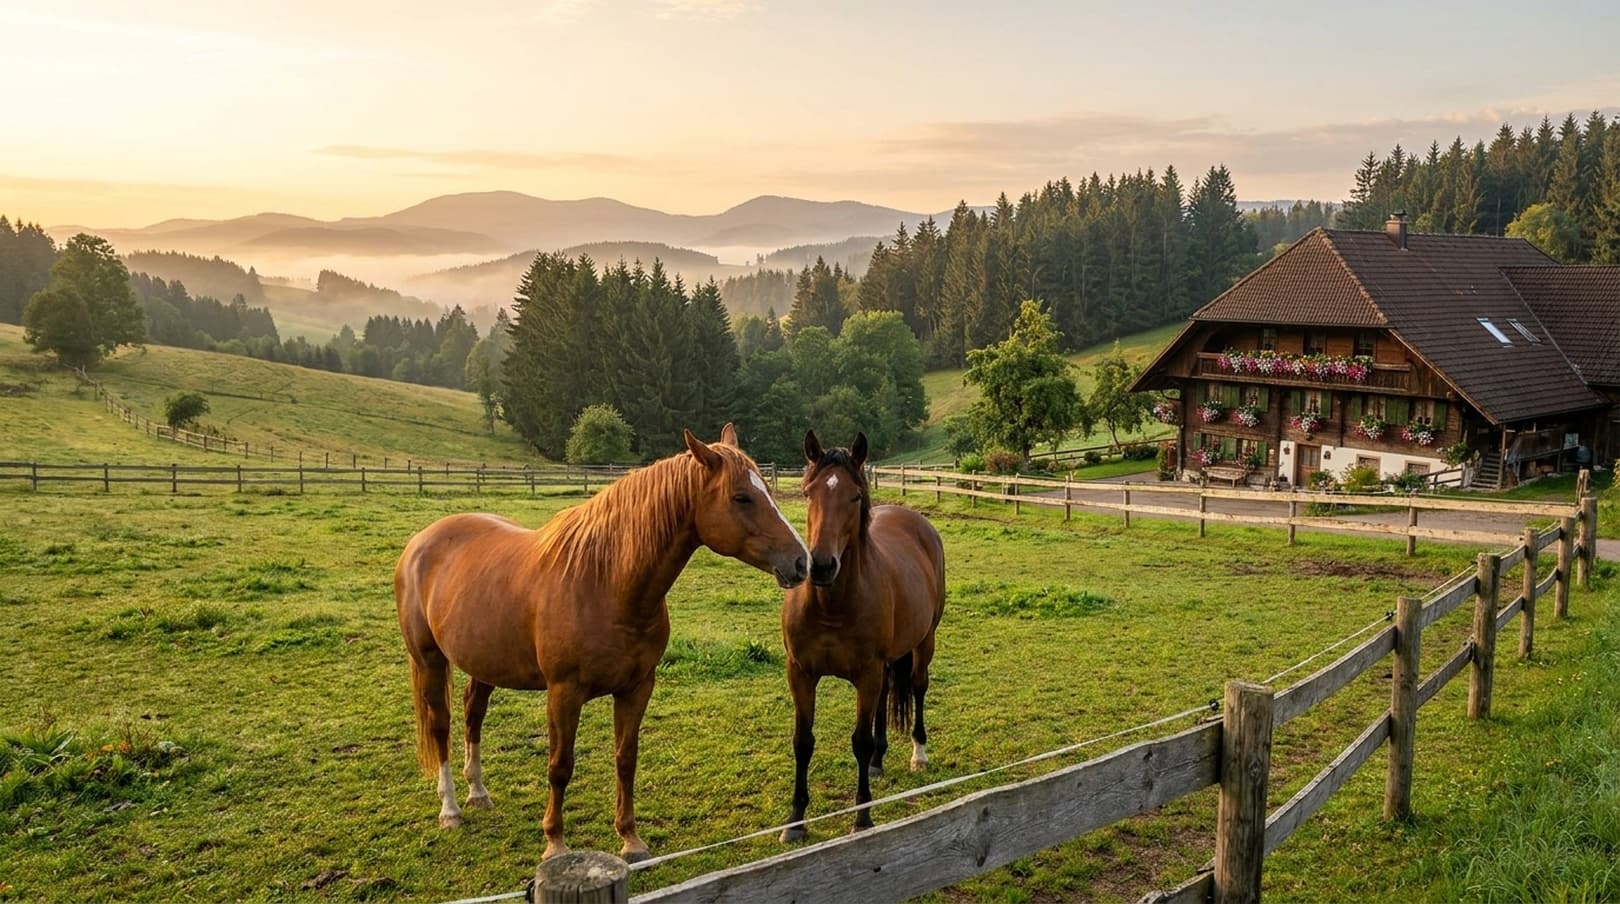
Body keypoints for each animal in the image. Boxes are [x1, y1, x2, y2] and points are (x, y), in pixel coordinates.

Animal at [395, 424, 809, 862]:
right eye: (741, 497)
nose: (802, 562)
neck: (605, 582)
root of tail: (422, 541)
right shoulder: (564, 693)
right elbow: (560, 765)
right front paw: (555, 844)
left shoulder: (637, 687)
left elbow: (626, 758)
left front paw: (631, 840)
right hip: (429, 660)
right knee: (441, 726)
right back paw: (451, 809)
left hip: (484, 662)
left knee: (473, 714)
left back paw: (478, 792)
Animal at [779, 430, 945, 841]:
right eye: (808, 493)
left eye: (854, 496)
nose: (821, 565)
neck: (831, 607)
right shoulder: (800, 673)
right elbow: (802, 742)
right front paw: (795, 821)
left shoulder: (866, 673)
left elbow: (859, 740)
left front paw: (862, 817)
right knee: (886, 697)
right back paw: (878, 762)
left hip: (923, 643)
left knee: (918, 687)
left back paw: (918, 754)